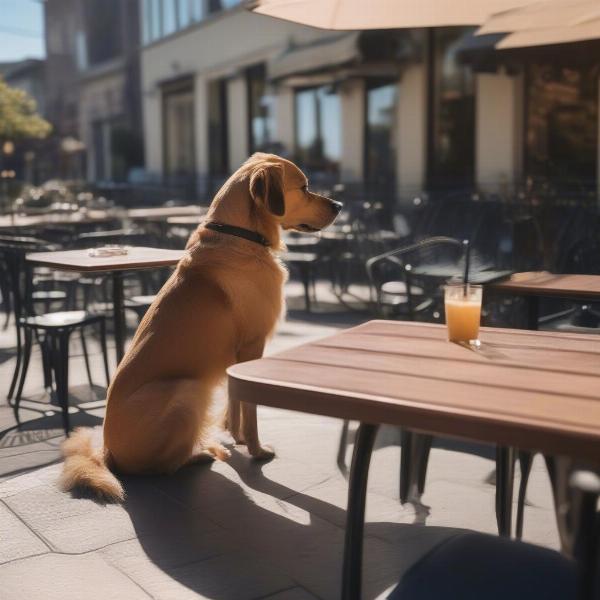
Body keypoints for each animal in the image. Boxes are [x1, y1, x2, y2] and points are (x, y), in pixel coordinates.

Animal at [62, 152, 342, 500]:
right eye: (303, 187)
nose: (339, 205)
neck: (240, 235)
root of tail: (107, 454)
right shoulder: (253, 346)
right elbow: (250, 409)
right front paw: (256, 449)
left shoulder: (240, 356)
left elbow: (236, 402)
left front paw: (237, 437)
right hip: (187, 389)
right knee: (163, 466)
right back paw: (200, 454)